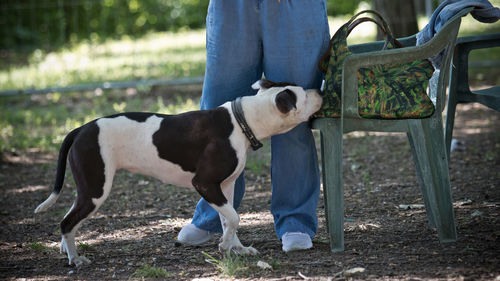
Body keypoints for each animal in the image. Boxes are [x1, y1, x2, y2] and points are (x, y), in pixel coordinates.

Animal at [36, 78, 324, 264]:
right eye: (303, 95)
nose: (319, 90)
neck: (242, 121)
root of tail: (81, 129)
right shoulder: (205, 183)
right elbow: (235, 217)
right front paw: (225, 246)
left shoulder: (226, 186)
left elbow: (229, 219)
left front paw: (237, 249)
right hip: (96, 188)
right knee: (67, 221)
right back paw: (75, 259)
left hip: (88, 188)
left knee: (69, 217)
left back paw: (66, 249)